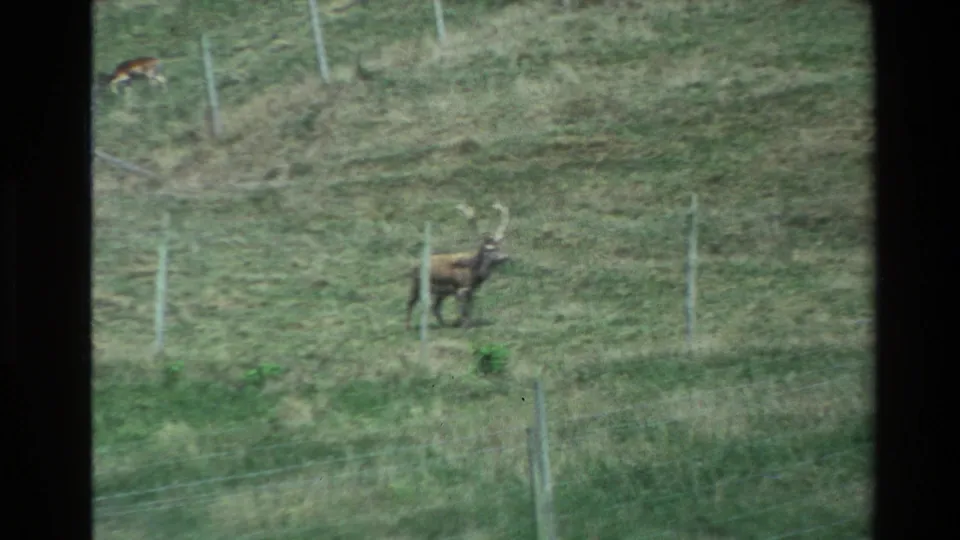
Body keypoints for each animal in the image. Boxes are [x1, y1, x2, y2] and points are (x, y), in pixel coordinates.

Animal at [406, 202, 511, 330]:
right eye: (489, 249)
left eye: (499, 247)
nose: (505, 257)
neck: (474, 273)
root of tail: (415, 264)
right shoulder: (460, 289)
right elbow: (463, 310)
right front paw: (464, 326)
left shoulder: (470, 290)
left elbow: (470, 308)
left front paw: (469, 324)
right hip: (417, 284)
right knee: (411, 302)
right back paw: (407, 326)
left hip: (441, 292)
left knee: (435, 307)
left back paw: (444, 324)